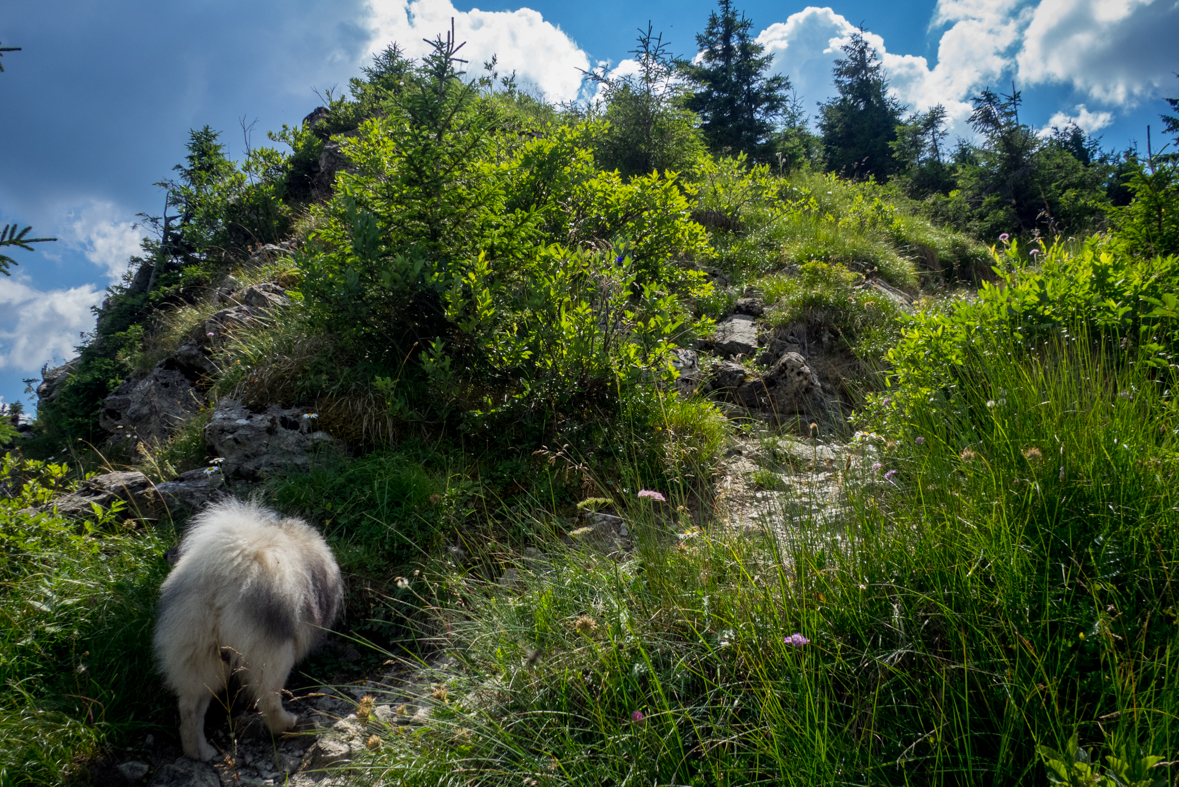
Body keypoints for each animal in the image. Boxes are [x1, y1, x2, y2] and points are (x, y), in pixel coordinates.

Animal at [154, 497, 344, 763]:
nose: (165, 554)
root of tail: (219, 586)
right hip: (271, 653)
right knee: (269, 699)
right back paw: (286, 723)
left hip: (197, 654)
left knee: (190, 709)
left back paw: (200, 752)